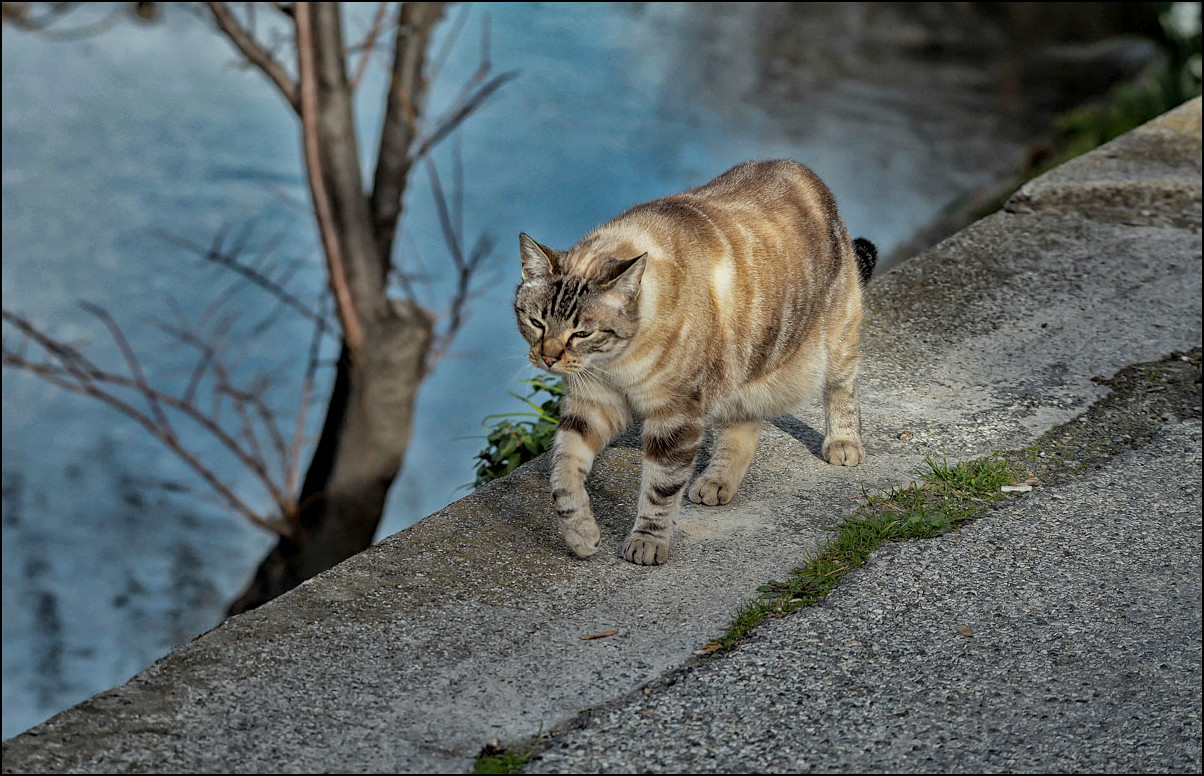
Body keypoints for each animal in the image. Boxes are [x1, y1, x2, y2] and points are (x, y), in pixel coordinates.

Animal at [512, 158, 881, 563]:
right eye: (536, 322)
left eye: (581, 333)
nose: (548, 358)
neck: (616, 363)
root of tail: (801, 169)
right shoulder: (592, 404)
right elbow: (562, 474)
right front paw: (581, 535)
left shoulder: (676, 416)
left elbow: (659, 489)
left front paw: (647, 542)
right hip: (739, 365)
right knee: (742, 425)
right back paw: (717, 481)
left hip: (834, 341)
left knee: (843, 386)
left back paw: (843, 443)